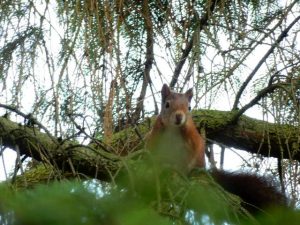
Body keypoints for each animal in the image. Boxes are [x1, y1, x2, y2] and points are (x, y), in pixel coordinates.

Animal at [146, 84, 288, 213]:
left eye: (189, 107)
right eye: (167, 105)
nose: (179, 117)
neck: (173, 130)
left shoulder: (192, 142)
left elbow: (188, 159)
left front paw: (178, 173)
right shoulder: (155, 139)